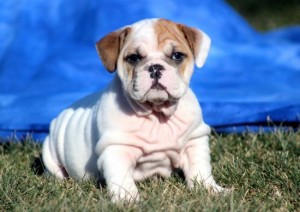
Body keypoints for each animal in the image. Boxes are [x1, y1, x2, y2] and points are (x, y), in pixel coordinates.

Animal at [42, 18, 225, 202]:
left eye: (177, 55)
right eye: (134, 58)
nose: (155, 68)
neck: (157, 112)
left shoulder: (194, 141)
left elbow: (199, 169)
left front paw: (209, 189)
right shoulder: (117, 149)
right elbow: (122, 179)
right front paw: (127, 200)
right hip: (49, 154)